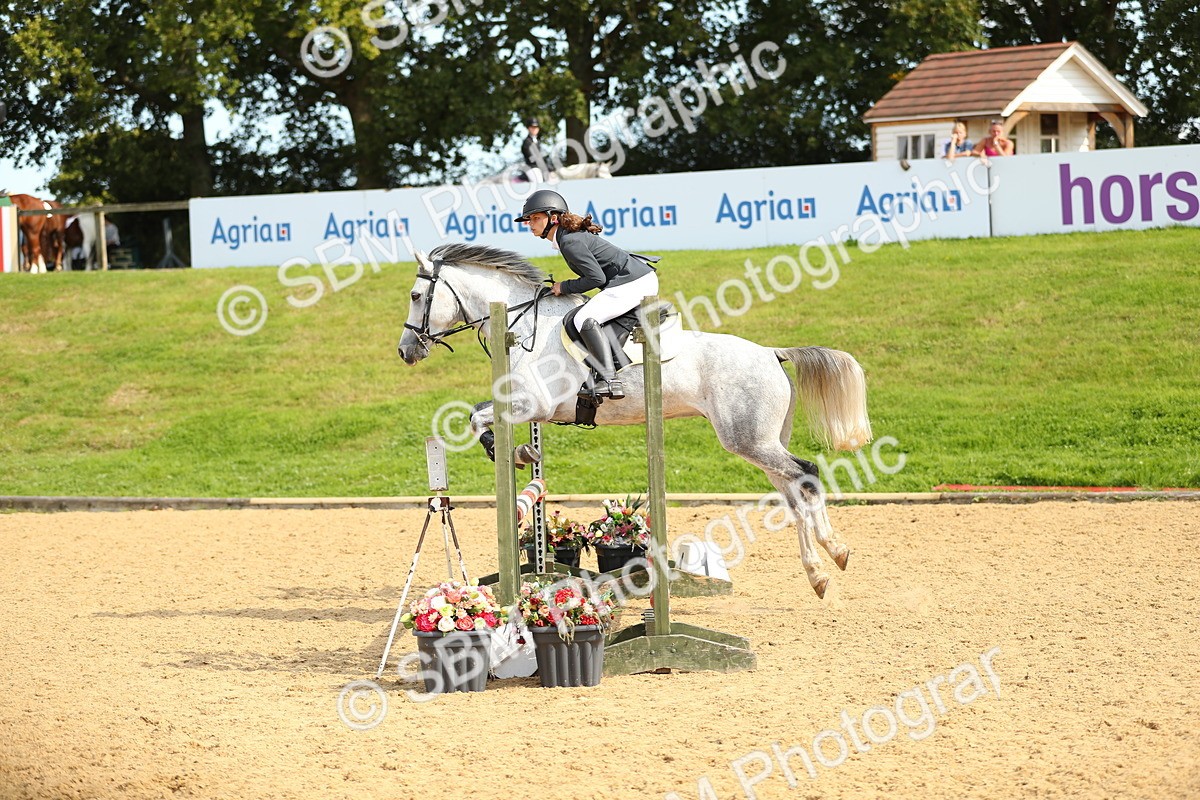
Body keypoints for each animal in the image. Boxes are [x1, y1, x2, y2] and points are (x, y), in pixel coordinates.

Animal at [397, 244, 873, 599]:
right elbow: (479, 415)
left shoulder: (533, 405)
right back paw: (820, 570)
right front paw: (520, 451)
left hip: (749, 440)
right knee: (794, 492)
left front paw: (511, 450)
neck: (519, 323)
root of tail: (773, 352)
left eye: (417, 296)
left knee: (807, 474)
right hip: (760, 442)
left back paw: (834, 552)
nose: (406, 351)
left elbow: (478, 418)